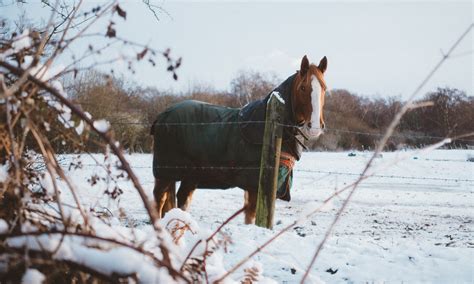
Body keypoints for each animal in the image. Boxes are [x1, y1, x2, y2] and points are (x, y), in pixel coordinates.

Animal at [151, 55, 326, 224]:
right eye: (303, 87)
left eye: (324, 88)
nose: (315, 127)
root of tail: (162, 116)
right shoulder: (255, 186)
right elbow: (252, 217)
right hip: (165, 173)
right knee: (159, 199)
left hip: (189, 175)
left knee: (182, 200)